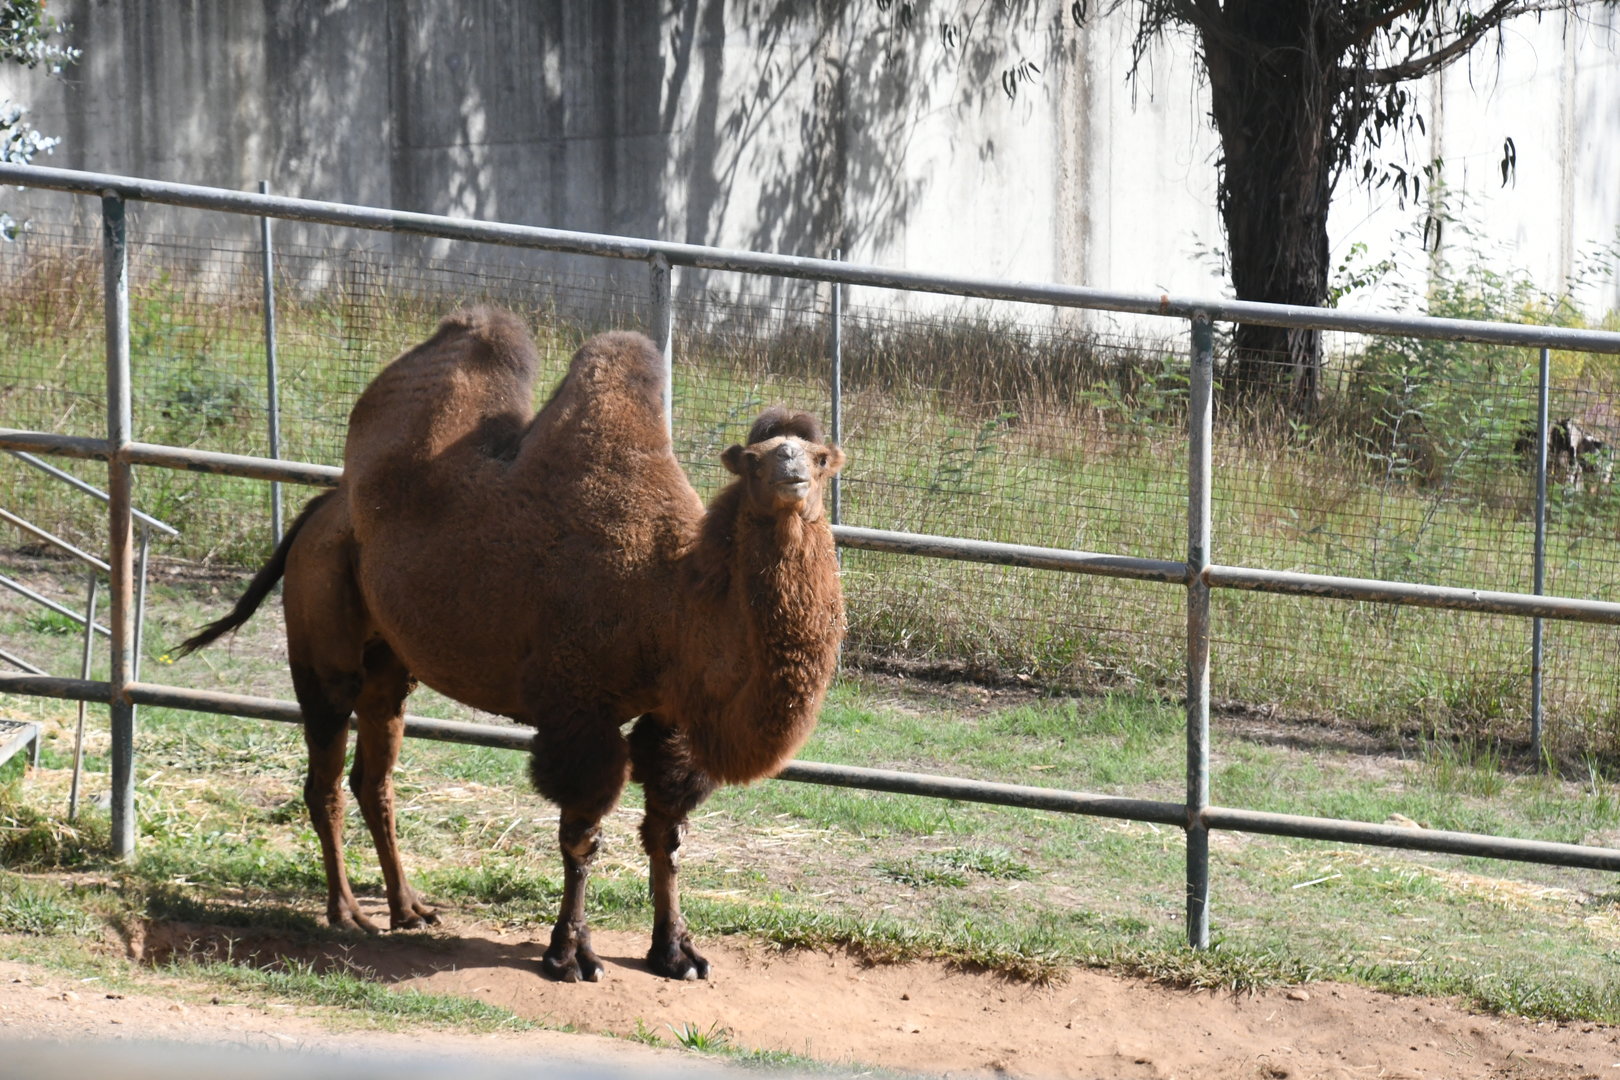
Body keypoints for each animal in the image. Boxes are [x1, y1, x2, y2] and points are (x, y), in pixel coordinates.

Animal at [175, 308, 845, 982]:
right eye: (755, 460)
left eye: (819, 458)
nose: (791, 475)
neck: (673, 597)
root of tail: (320, 509)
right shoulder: (579, 709)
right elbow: (581, 836)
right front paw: (571, 955)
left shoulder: (671, 717)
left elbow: (667, 833)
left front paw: (676, 952)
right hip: (323, 647)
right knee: (326, 778)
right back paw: (347, 913)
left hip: (389, 666)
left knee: (375, 777)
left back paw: (409, 907)